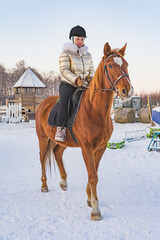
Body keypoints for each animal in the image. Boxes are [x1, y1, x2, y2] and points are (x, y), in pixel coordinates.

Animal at [35, 42, 133, 221]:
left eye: (126, 64)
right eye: (110, 65)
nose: (127, 91)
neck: (94, 110)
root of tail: (43, 104)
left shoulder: (100, 148)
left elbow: (93, 173)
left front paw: (89, 199)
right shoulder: (87, 148)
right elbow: (93, 175)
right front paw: (95, 209)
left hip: (63, 142)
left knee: (57, 153)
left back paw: (63, 182)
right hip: (43, 139)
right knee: (42, 158)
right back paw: (44, 185)